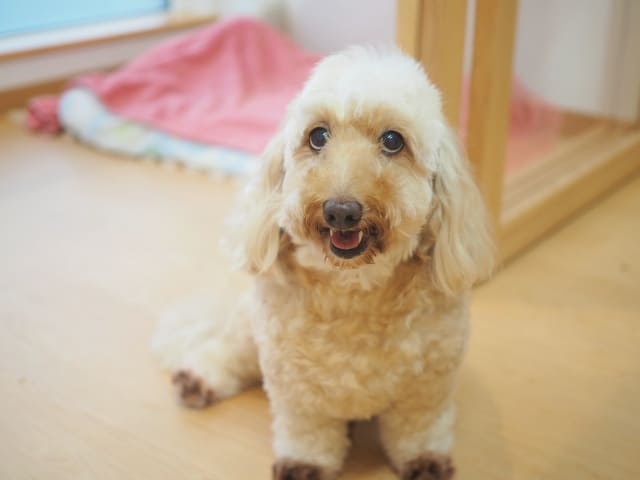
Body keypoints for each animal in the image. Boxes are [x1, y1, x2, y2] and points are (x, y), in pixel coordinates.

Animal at [152, 47, 494, 480]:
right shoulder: (295, 383)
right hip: (250, 329)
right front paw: (305, 464)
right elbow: (307, 432)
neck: (355, 290)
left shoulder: (429, 384)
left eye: (393, 141)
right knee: (229, 352)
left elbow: (420, 428)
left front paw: (425, 460)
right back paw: (199, 379)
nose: (341, 211)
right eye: (318, 136)